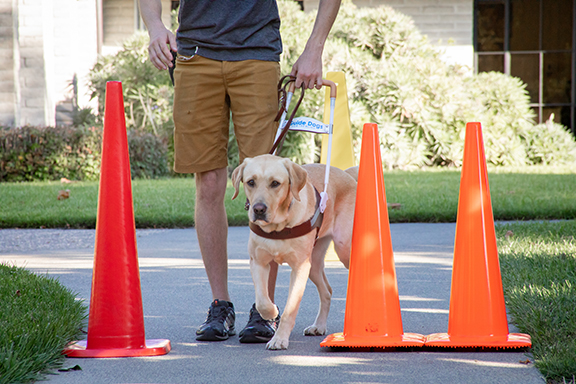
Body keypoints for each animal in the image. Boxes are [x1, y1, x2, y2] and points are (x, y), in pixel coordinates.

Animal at [231, 154, 356, 350]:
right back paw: (319, 326)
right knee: (327, 290)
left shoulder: (300, 267)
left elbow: (290, 309)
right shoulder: (258, 262)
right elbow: (262, 300)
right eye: (251, 182)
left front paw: (279, 339)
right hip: (314, 264)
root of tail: (347, 174)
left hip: (343, 249)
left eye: (275, 183)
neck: (278, 227)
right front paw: (271, 312)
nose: (258, 209)